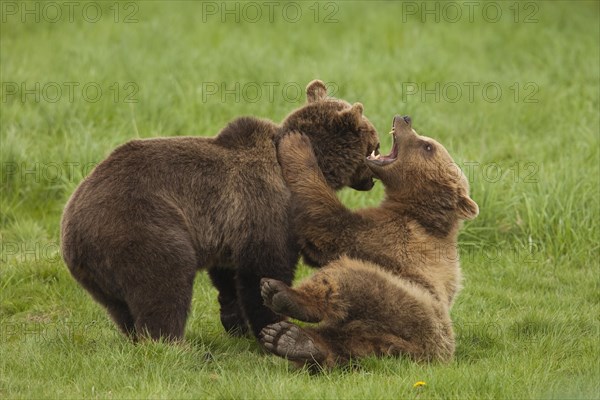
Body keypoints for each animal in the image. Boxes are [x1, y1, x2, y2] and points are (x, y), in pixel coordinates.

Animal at [61, 80, 380, 340]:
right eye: (374, 143)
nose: (372, 176)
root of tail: (72, 228)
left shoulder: (229, 226)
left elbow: (229, 275)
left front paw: (235, 320)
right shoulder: (267, 206)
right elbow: (264, 267)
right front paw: (271, 323)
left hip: (99, 271)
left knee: (120, 307)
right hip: (140, 226)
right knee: (164, 283)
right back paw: (170, 341)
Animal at [258, 113, 478, 368]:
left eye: (427, 145)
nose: (404, 118)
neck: (416, 210)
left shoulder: (390, 234)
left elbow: (327, 223)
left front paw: (296, 143)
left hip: (407, 305)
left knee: (347, 277)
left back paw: (282, 296)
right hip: (378, 334)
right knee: (341, 342)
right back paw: (292, 340)